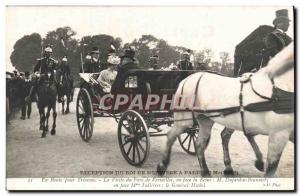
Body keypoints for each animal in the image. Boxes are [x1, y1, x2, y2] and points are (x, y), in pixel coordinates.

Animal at [158, 43, 294, 178]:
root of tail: (187, 78)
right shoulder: (278, 134)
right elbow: (271, 169)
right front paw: (260, 163)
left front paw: (259, 162)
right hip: (184, 119)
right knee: (171, 136)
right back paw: (162, 166)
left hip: (206, 120)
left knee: (200, 144)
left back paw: (206, 171)